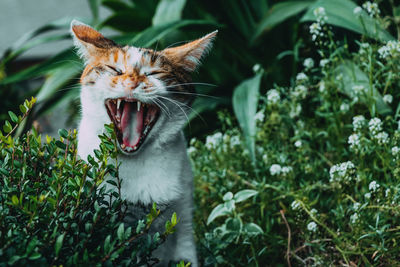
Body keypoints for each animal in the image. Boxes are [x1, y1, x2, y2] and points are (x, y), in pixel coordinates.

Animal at [70, 19, 217, 266]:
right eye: (115, 70)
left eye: (154, 73)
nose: (131, 82)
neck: (134, 162)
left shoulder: (184, 215)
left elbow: (186, 253)